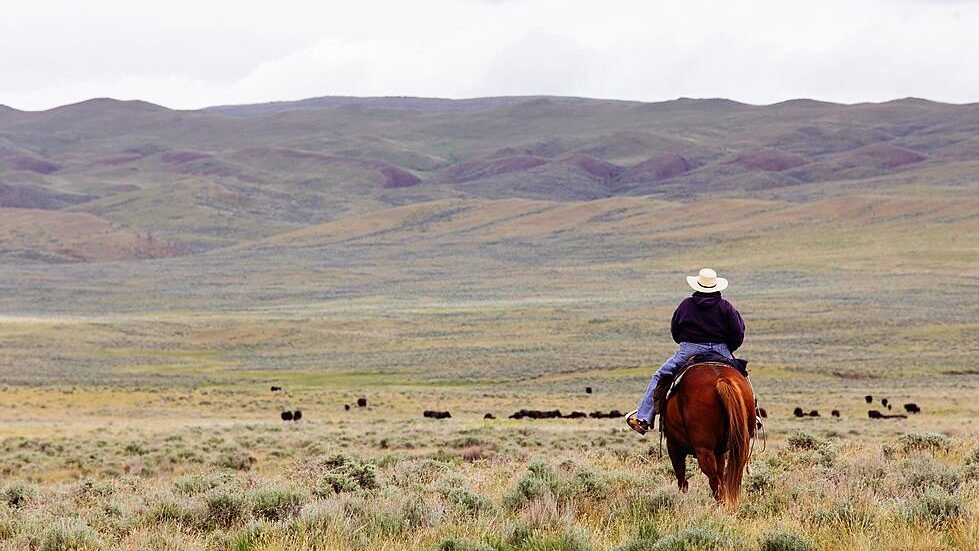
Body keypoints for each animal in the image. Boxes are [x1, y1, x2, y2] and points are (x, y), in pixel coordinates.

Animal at [664, 362, 756, 508]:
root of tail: (722, 380)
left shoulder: (673, 445)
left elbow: (681, 476)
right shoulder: (719, 451)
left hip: (703, 449)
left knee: (713, 480)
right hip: (741, 444)